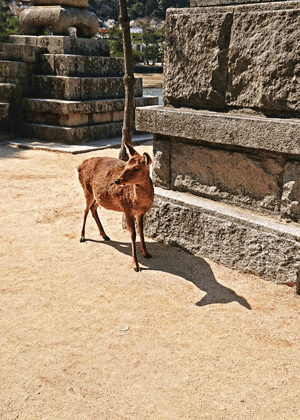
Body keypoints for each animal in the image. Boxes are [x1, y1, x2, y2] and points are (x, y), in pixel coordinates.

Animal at [77, 142, 154, 272]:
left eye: (136, 168)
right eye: (125, 165)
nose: (117, 180)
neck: (139, 202)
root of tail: (80, 165)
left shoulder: (140, 212)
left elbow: (141, 231)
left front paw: (147, 253)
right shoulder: (127, 209)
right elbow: (133, 234)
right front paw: (136, 265)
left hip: (99, 197)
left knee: (93, 209)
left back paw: (105, 235)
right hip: (87, 190)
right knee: (85, 210)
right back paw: (82, 236)